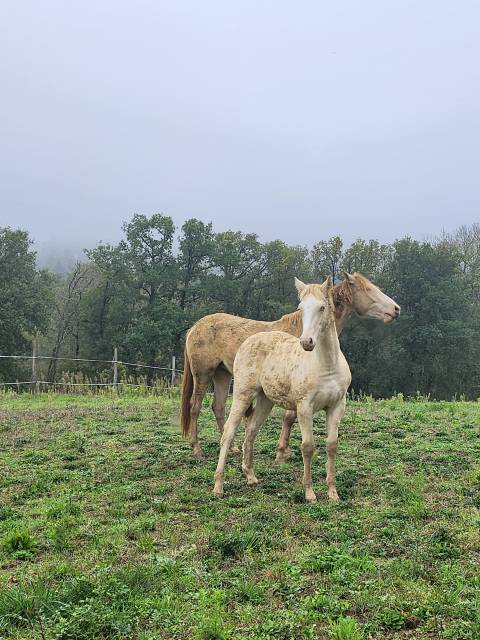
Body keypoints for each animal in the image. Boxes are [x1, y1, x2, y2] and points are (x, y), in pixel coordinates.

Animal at [180, 272, 402, 458]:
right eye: (368, 290)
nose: (396, 309)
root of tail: (194, 327)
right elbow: (289, 417)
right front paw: (281, 451)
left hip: (222, 375)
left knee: (218, 407)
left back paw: (232, 448)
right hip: (203, 374)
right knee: (195, 407)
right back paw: (197, 449)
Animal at [215, 278, 352, 502]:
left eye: (322, 307)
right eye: (300, 308)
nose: (306, 342)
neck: (327, 366)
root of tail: (248, 341)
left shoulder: (336, 406)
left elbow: (332, 445)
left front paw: (333, 492)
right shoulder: (304, 407)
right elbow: (308, 446)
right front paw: (309, 493)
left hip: (265, 400)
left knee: (251, 430)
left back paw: (251, 477)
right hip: (243, 394)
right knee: (228, 431)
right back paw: (218, 486)